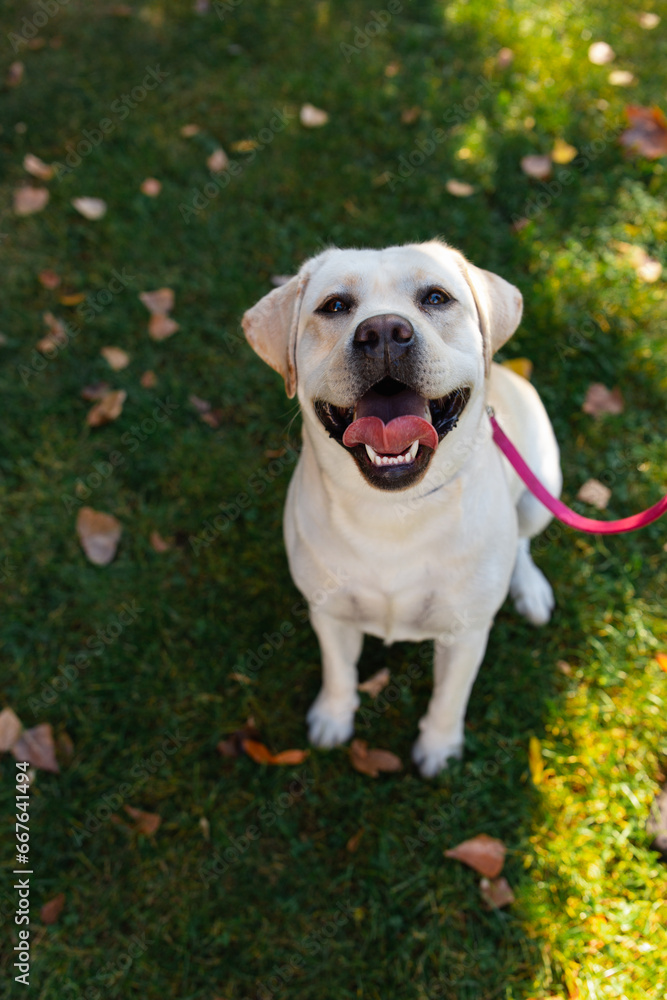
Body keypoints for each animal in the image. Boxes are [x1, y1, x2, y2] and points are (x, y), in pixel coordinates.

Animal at [243, 238, 560, 776]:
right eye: (335, 306)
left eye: (435, 298)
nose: (385, 331)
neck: (394, 512)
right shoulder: (330, 614)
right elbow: (338, 673)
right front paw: (334, 718)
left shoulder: (465, 633)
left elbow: (449, 698)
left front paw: (439, 748)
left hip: (543, 484)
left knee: (522, 540)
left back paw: (531, 588)